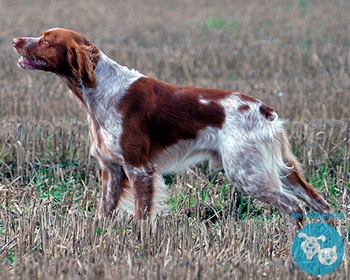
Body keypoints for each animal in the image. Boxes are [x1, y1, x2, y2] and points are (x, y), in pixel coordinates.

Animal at [13, 28, 330, 234]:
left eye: (46, 40)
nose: (15, 40)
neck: (100, 90)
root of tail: (265, 110)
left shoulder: (139, 168)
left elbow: (142, 214)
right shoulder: (112, 170)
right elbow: (104, 211)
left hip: (247, 172)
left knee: (294, 207)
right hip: (280, 170)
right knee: (319, 203)